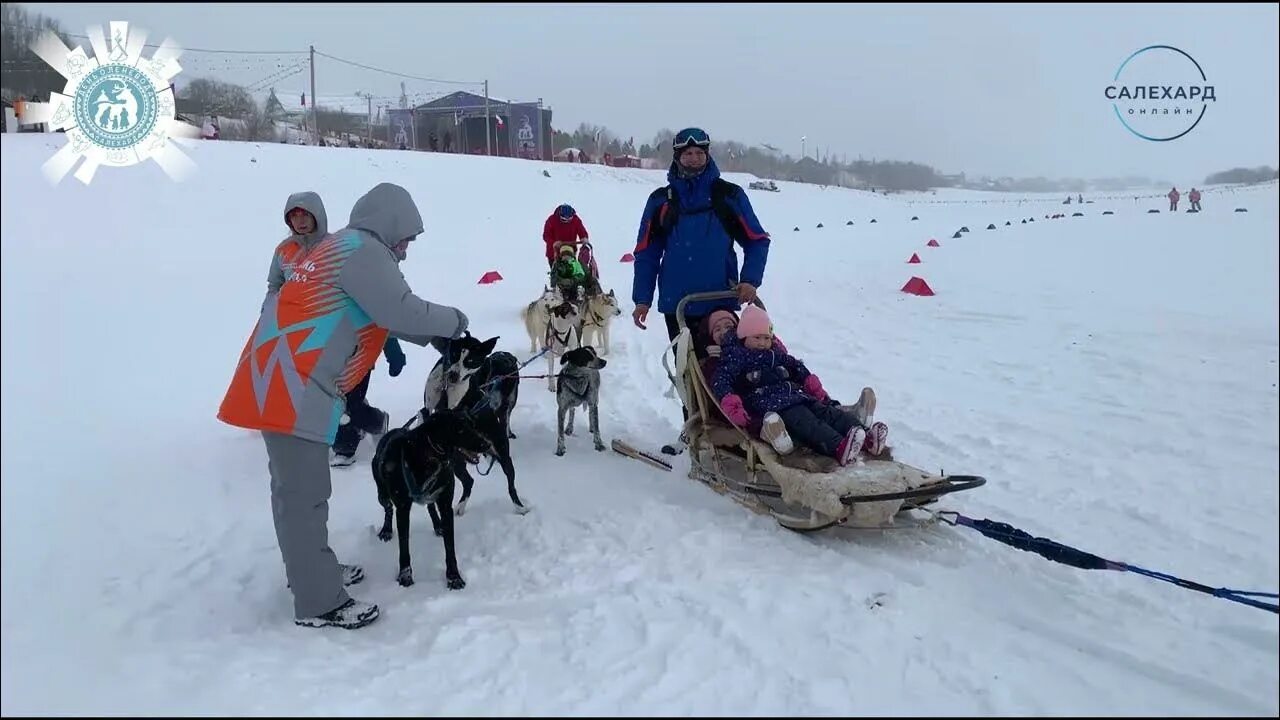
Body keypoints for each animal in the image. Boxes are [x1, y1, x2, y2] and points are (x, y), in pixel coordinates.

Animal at [424, 333, 529, 512]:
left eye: (471, 361)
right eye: (454, 354)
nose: (453, 375)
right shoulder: (429, 403)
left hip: (503, 455)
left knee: (511, 485)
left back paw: (520, 507)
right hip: (456, 462)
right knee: (469, 481)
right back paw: (460, 506)